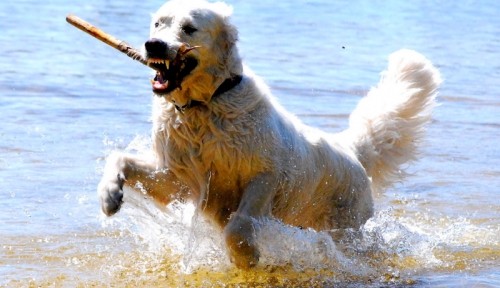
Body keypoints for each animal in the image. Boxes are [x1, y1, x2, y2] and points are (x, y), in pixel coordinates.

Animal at [97, 0, 442, 270]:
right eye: (158, 23)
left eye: (189, 28)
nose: (152, 44)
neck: (205, 105)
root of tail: (349, 148)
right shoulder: (178, 178)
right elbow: (119, 158)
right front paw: (109, 196)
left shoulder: (264, 176)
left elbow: (238, 225)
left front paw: (246, 258)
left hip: (347, 227)